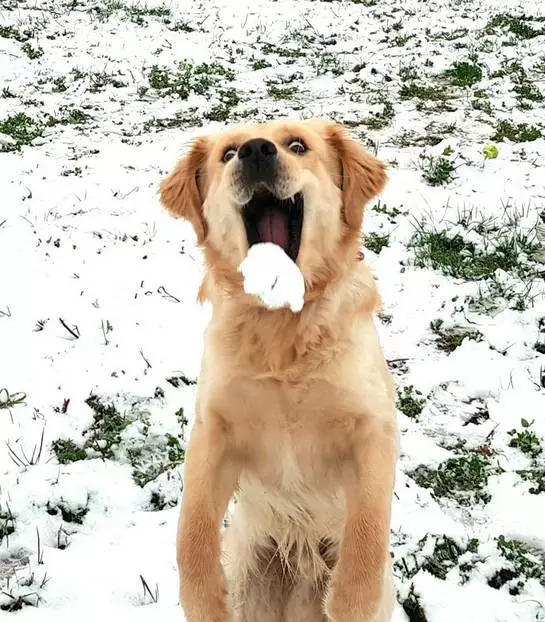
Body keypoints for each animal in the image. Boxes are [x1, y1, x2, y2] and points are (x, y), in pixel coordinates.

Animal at [159, 119, 398, 620]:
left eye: (298, 146)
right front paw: (203, 598)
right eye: (228, 153)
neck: (281, 324)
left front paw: (351, 599)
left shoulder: (373, 428)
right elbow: (192, 527)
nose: (255, 151)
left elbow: (367, 533)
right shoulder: (214, 428)